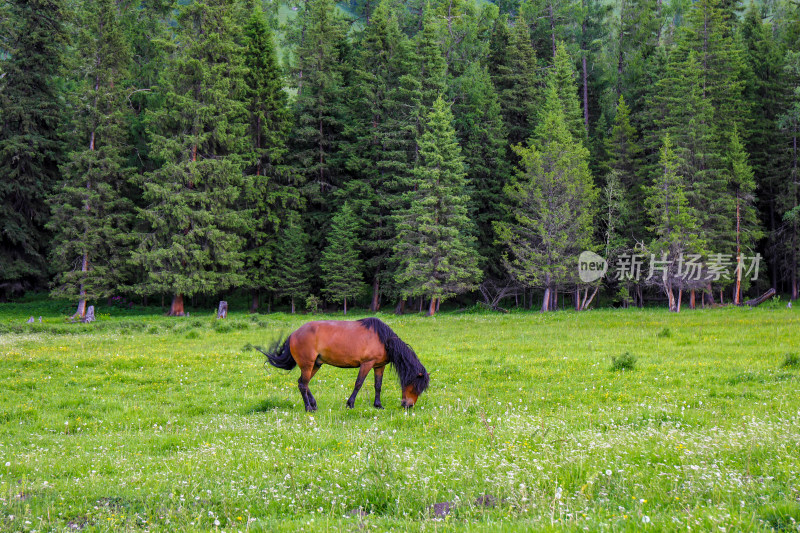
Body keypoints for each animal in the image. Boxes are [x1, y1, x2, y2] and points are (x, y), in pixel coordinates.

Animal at [258, 316, 432, 412]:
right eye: (416, 387)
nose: (408, 406)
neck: (383, 339)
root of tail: (294, 334)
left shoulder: (378, 366)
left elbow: (378, 386)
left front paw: (378, 405)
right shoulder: (367, 364)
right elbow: (358, 383)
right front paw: (350, 404)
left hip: (316, 364)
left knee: (303, 383)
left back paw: (314, 405)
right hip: (308, 364)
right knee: (302, 384)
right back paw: (309, 408)